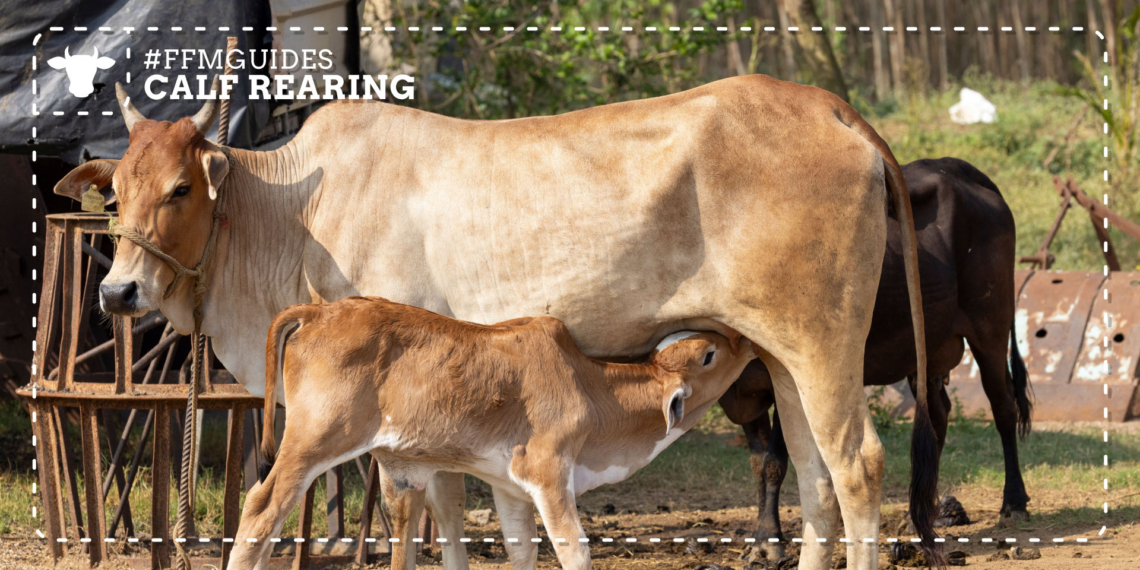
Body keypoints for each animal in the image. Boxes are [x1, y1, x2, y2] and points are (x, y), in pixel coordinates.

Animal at [223, 297, 755, 570]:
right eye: (709, 354)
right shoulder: (549, 472)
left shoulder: (511, 487)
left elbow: (522, 549)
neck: (590, 387)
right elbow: (574, 549)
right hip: (313, 440)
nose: (743, 339)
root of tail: (319, 310)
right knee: (261, 509)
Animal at [718, 157, 1031, 561]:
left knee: (1003, 407)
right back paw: (919, 514)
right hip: (924, 351)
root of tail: (955, 167)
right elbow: (759, 463)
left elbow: (774, 462)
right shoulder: (745, 392)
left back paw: (1014, 502)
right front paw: (763, 537)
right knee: (938, 415)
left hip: (990, 324)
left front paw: (770, 542)